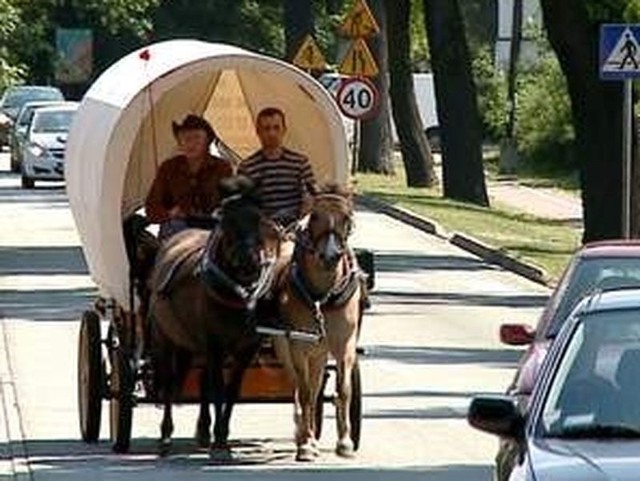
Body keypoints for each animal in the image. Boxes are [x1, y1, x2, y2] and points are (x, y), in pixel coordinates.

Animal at [150, 176, 282, 458]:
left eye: (259, 220)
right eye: (226, 221)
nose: (249, 262)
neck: (238, 292)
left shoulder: (245, 348)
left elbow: (230, 390)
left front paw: (220, 435)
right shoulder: (215, 344)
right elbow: (219, 389)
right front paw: (219, 440)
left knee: (202, 381)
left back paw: (202, 431)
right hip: (164, 338)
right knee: (169, 382)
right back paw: (166, 435)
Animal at [274, 185, 364, 462]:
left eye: (347, 218)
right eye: (314, 217)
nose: (330, 256)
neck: (322, 298)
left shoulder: (345, 345)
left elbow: (343, 390)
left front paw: (345, 442)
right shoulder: (298, 346)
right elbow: (304, 393)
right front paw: (305, 445)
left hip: (321, 352)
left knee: (316, 389)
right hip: (291, 349)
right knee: (302, 389)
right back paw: (304, 434)